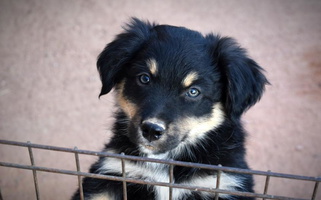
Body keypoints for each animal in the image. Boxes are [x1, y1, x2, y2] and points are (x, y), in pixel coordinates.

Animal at [72, 18, 268, 199]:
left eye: (193, 91)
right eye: (144, 78)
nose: (151, 130)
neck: (165, 163)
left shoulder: (225, 183)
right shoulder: (112, 173)